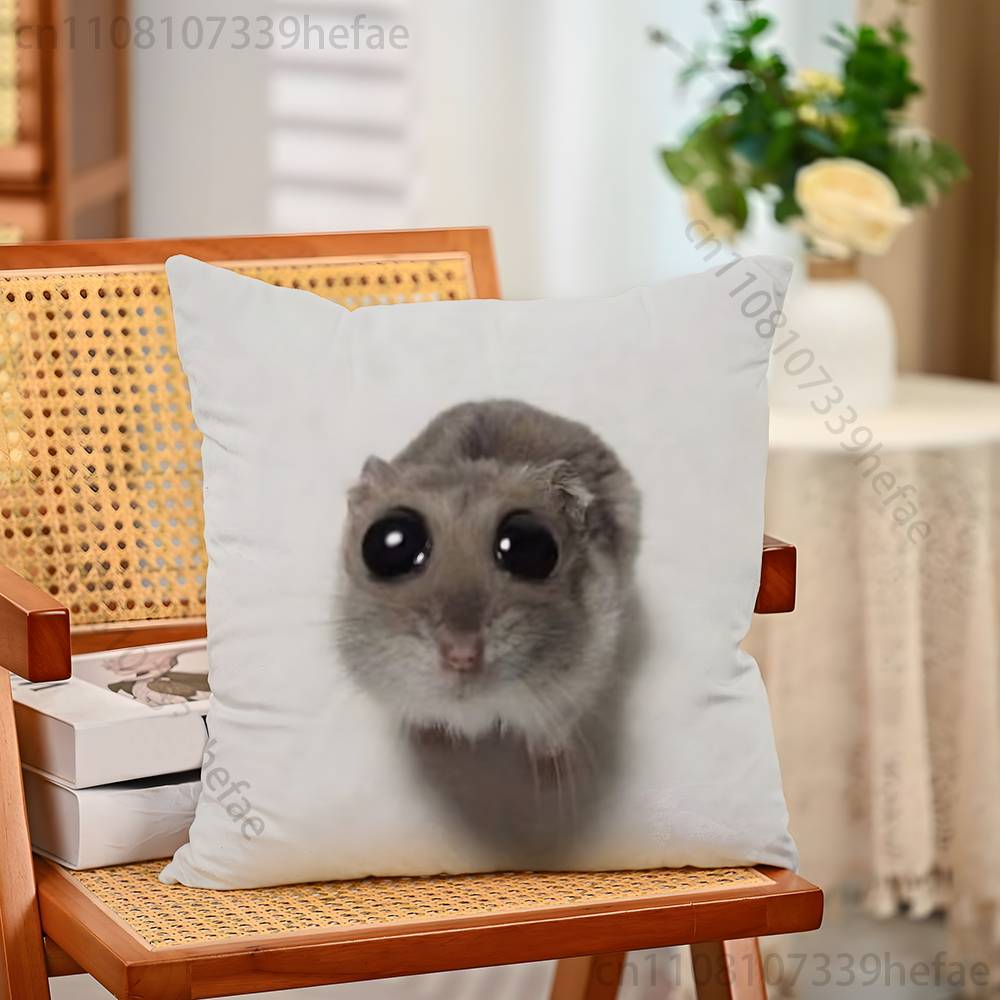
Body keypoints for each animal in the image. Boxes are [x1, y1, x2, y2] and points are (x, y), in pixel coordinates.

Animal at [335, 399, 641, 757]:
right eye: (388, 545)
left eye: (530, 547)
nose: (461, 655)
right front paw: (430, 740)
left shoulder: (574, 690)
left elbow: (550, 731)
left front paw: (553, 761)